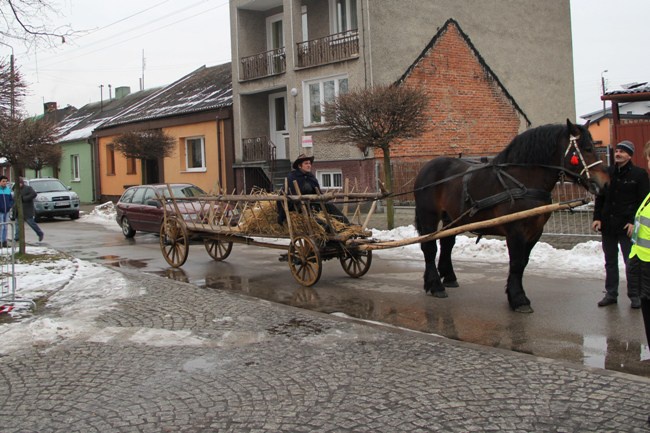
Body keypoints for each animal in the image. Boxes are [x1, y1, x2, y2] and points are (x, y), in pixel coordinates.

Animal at [416, 120, 608, 312]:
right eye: (587, 148)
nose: (605, 183)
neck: (523, 180)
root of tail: (427, 167)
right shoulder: (515, 230)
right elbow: (516, 262)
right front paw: (519, 298)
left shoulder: (535, 231)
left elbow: (523, 263)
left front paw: (513, 294)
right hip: (429, 215)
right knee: (429, 247)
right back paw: (435, 285)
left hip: (452, 217)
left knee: (447, 243)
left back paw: (449, 277)